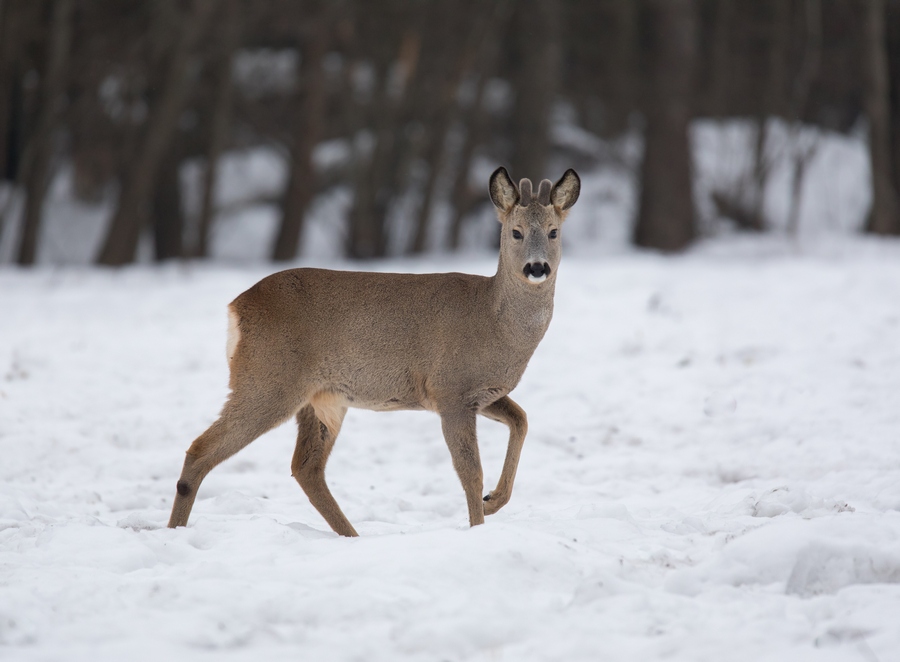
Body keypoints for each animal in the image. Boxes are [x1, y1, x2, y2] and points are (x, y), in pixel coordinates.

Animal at [165, 167, 580, 540]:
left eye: (554, 231)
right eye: (516, 231)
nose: (537, 267)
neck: (495, 322)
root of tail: (236, 307)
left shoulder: (483, 393)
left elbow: (522, 419)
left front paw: (494, 500)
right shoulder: (450, 389)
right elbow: (470, 471)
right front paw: (479, 525)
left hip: (322, 398)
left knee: (306, 467)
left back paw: (352, 537)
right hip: (269, 379)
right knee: (201, 450)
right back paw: (174, 531)